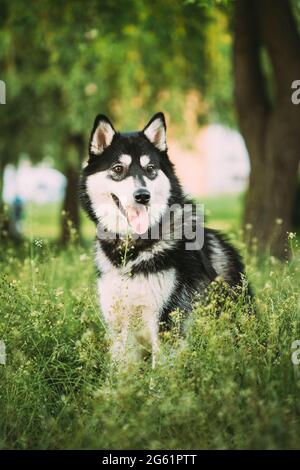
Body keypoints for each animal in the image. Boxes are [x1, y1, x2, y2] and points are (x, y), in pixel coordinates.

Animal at [79, 112, 248, 366]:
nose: (142, 196)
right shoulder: (120, 327)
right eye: (118, 168)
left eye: (150, 168)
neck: (132, 251)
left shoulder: (166, 322)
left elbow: (159, 373)